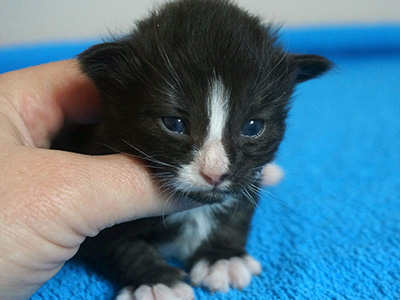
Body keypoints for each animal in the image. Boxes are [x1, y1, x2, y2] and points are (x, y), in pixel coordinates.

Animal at [70, 0, 332, 298]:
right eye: (174, 123)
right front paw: (155, 281)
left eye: (253, 126)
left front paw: (222, 259)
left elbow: (237, 215)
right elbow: (117, 244)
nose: (215, 173)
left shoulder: (246, 177)